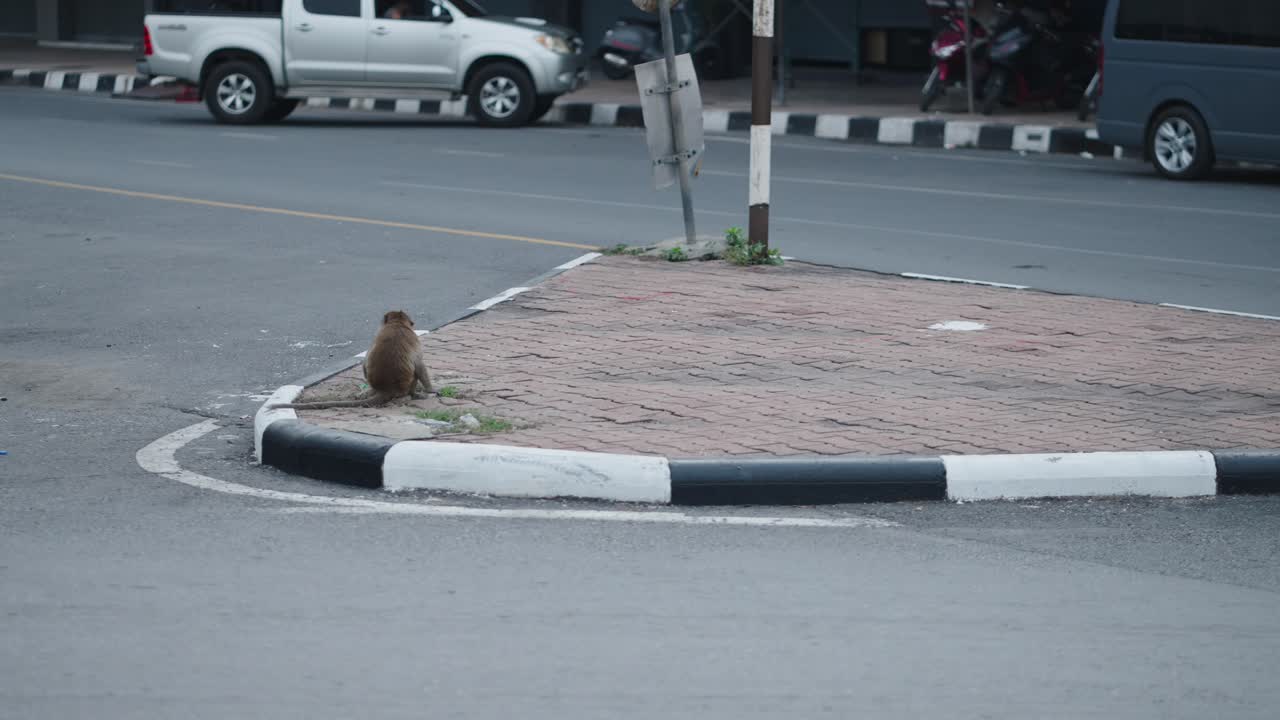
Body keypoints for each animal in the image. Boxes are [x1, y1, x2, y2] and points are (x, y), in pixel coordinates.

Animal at [268, 310, 431, 410]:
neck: (396, 323)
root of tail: (387, 389)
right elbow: (419, 365)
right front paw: (432, 390)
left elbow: (365, 362)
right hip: (407, 384)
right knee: (416, 373)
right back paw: (414, 394)